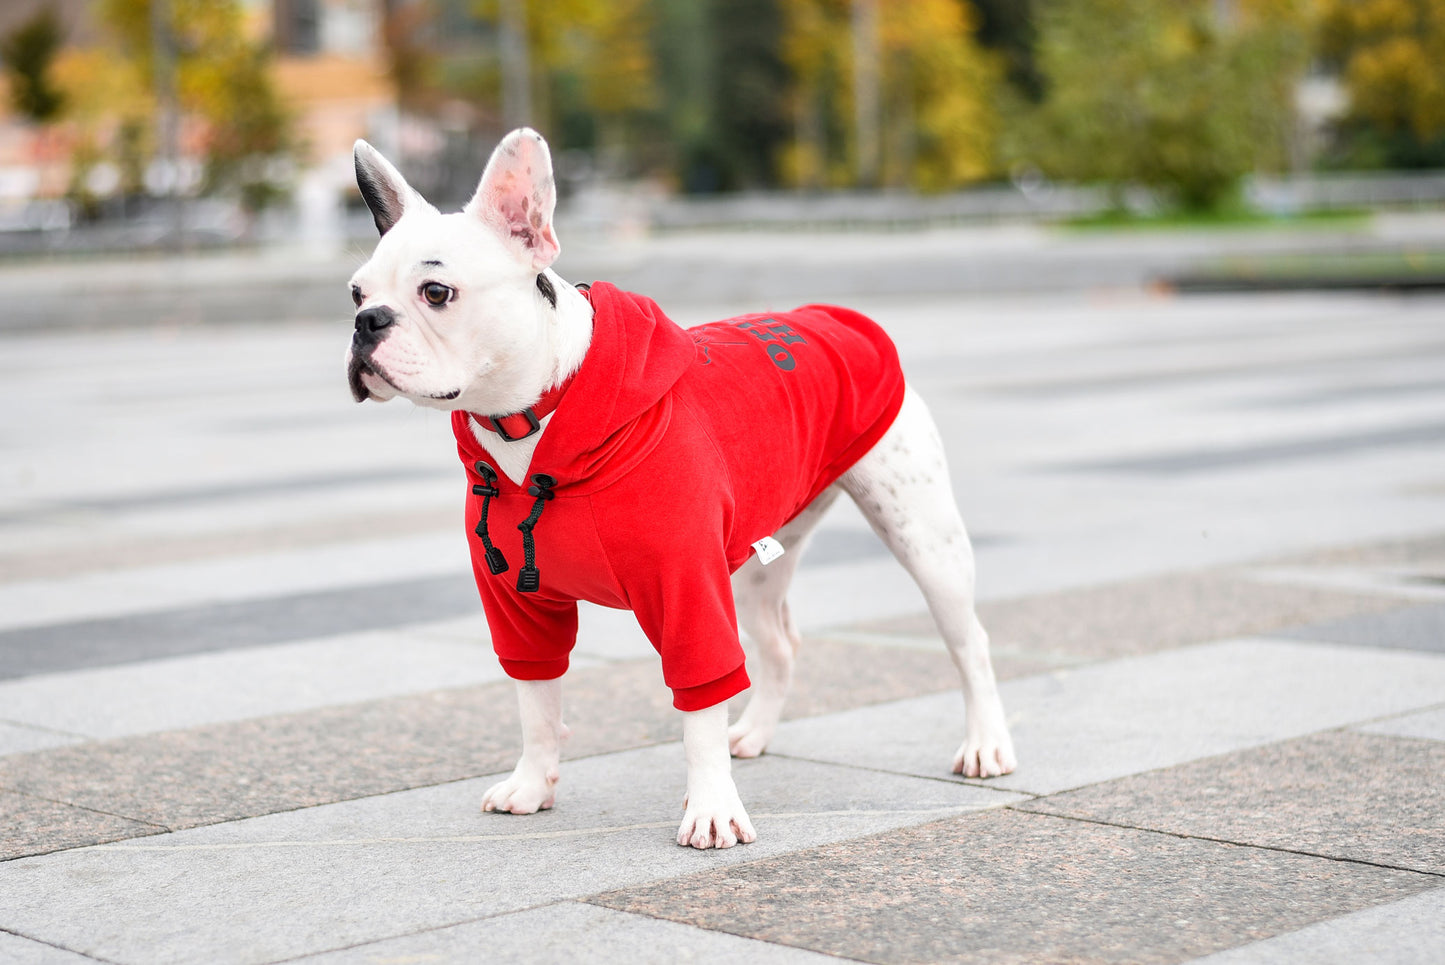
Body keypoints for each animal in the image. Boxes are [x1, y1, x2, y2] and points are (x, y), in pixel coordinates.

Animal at [345, 127, 1017, 849]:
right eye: (355, 294)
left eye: (436, 292)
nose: (367, 323)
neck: (529, 423)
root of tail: (831, 316)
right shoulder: (519, 605)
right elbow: (535, 698)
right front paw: (531, 784)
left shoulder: (688, 591)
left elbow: (699, 698)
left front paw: (711, 809)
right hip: (757, 561)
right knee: (779, 644)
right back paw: (752, 732)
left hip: (923, 538)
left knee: (969, 642)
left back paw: (985, 744)